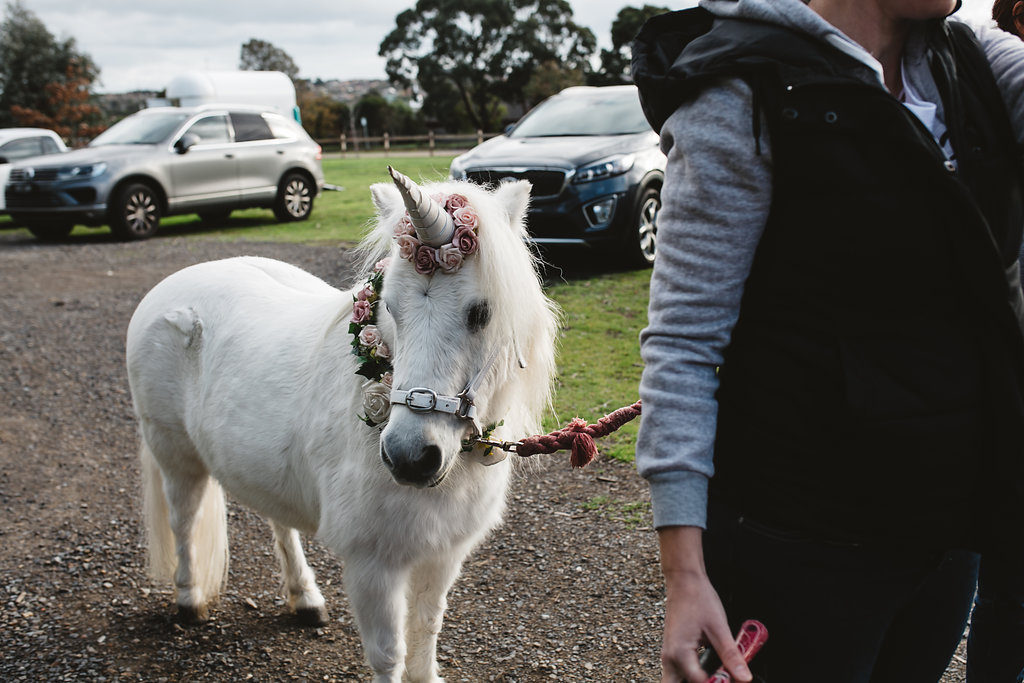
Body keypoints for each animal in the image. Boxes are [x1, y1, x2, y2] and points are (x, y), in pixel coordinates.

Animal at [130, 166, 561, 683]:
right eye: (389, 307)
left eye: (481, 312)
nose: (409, 458)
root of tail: (170, 286)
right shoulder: (372, 565)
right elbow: (389, 655)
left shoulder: (443, 555)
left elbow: (426, 630)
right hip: (175, 456)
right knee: (184, 521)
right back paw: (190, 599)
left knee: (279, 522)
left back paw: (304, 599)